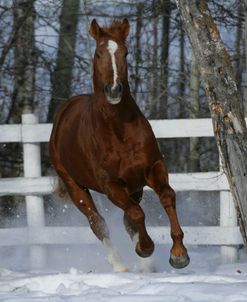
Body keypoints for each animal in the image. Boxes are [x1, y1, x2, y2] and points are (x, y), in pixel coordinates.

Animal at [49, 17, 189, 270]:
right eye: (98, 54)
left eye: (126, 53)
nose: (114, 90)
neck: (119, 132)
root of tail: (64, 112)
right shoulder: (111, 185)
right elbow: (136, 214)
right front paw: (145, 247)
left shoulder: (153, 169)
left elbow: (167, 196)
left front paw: (179, 254)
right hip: (75, 186)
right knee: (98, 223)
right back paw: (120, 265)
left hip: (134, 187)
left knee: (126, 218)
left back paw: (146, 266)